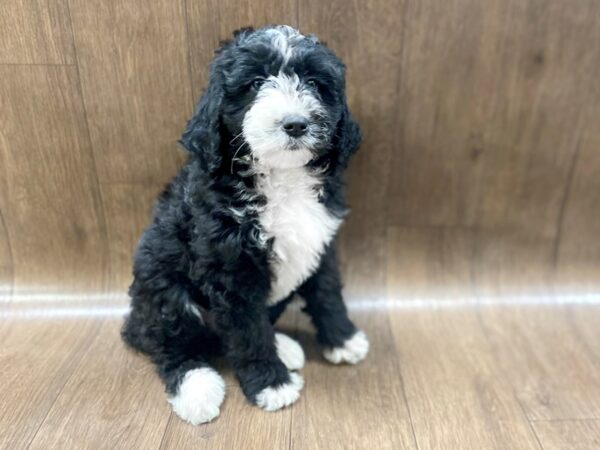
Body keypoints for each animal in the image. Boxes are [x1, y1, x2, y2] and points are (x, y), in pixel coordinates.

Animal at [122, 24, 368, 426]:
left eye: (315, 83)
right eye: (255, 83)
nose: (295, 123)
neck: (281, 178)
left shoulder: (320, 244)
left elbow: (327, 292)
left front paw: (343, 339)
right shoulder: (230, 271)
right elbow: (248, 331)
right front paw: (271, 384)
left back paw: (284, 346)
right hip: (164, 291)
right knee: (173, 347)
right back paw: (196, 388)